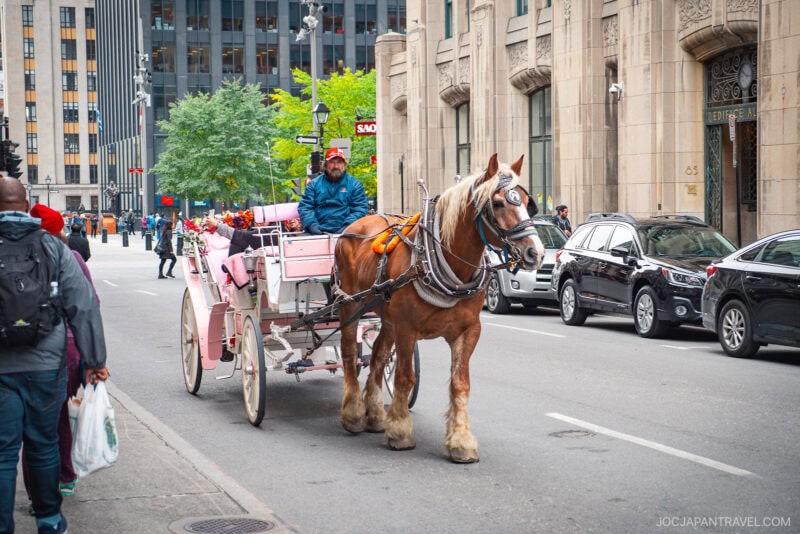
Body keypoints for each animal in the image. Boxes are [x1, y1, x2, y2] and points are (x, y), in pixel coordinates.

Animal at [333, 154, 545, 463]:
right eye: (498, 203)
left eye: (528, 202)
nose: (536, 253)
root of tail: (356, 224)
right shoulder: (408, 328)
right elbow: (405, 377)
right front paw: (400, 431)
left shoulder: (469, 330)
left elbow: (460, 382)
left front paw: (461, 441)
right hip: (351, 305)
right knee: (349, 352)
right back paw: (352, 414)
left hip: (387, 315)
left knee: (379, 356)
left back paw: (375, 414)